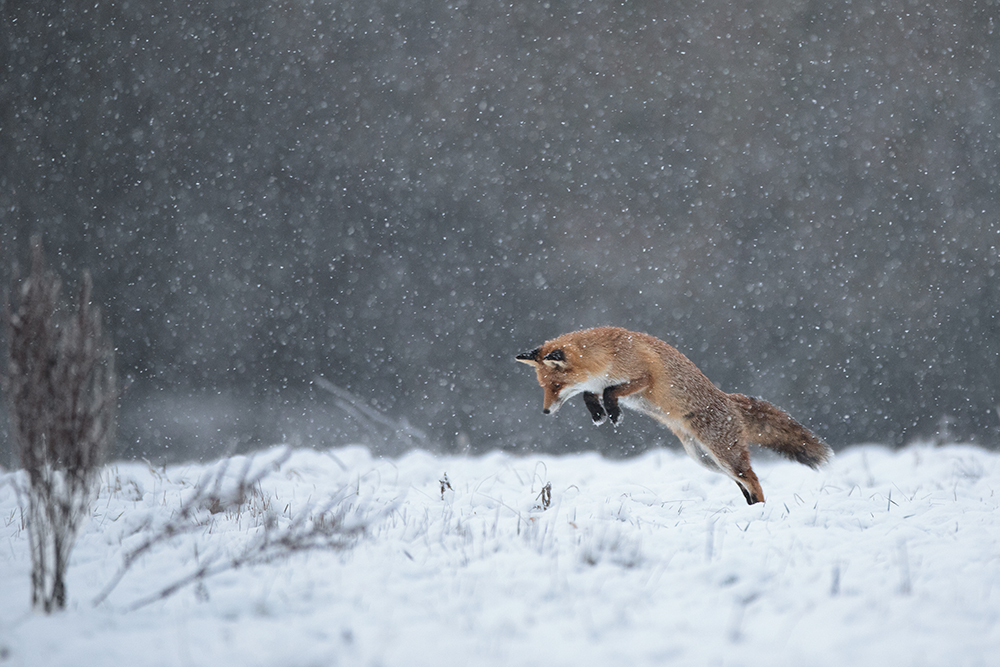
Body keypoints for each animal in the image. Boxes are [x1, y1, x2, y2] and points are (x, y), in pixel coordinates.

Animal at [516, 326, 828, 504]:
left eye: (556, 386)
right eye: (543, 387)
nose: (545, 411)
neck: (608, 354)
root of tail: (729, 400)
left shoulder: (643, 379)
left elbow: (611, 391)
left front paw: (613, 413)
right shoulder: (594, 385)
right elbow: (589, 394)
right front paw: (598, 414)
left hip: (725, 456)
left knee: (753, 478)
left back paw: (759, 511)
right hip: (705, 460)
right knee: (744, 482)